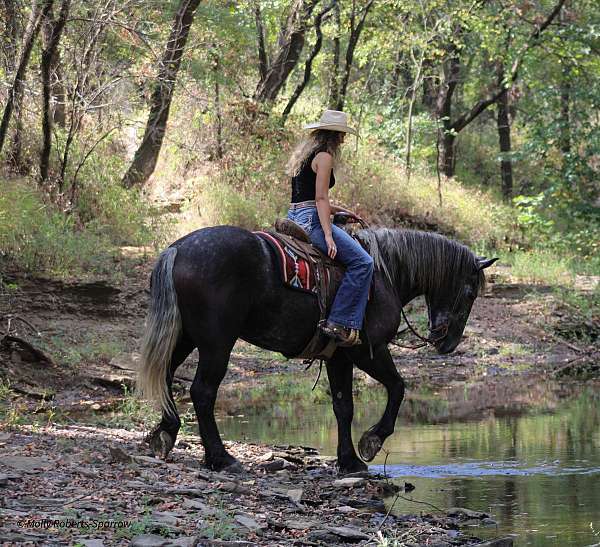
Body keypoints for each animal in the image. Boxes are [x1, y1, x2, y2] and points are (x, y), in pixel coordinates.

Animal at [137, 225, 496, 474]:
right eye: (470, 293)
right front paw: (371, 442)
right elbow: (397, 387)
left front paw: (349, 461)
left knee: (167, 377)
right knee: (202, 391)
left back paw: (164, 434)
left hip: (186, 337)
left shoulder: (339, 356)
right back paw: (221, 458)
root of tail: (177, 249)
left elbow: (343, 407)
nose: (447, 343)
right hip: (217, 343)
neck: (384, 274)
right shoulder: (368, 350)